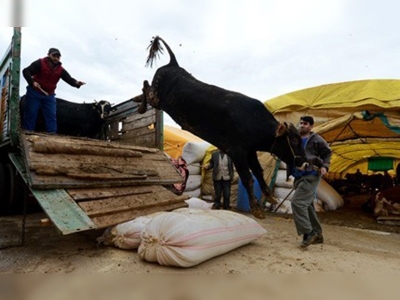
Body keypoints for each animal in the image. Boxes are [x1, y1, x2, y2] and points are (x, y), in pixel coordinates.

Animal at [134, 36, 306, 219]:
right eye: (294, 140)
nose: (304, 161)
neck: (252, 120)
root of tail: (173, 64)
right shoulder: (237, 152)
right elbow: (247, 178)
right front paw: (257, 209)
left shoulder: (250, 151)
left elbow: (258, 172)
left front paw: (270, 197)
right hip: (157, 98)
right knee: (146, 86)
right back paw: (141, 107)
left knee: (145, 87)